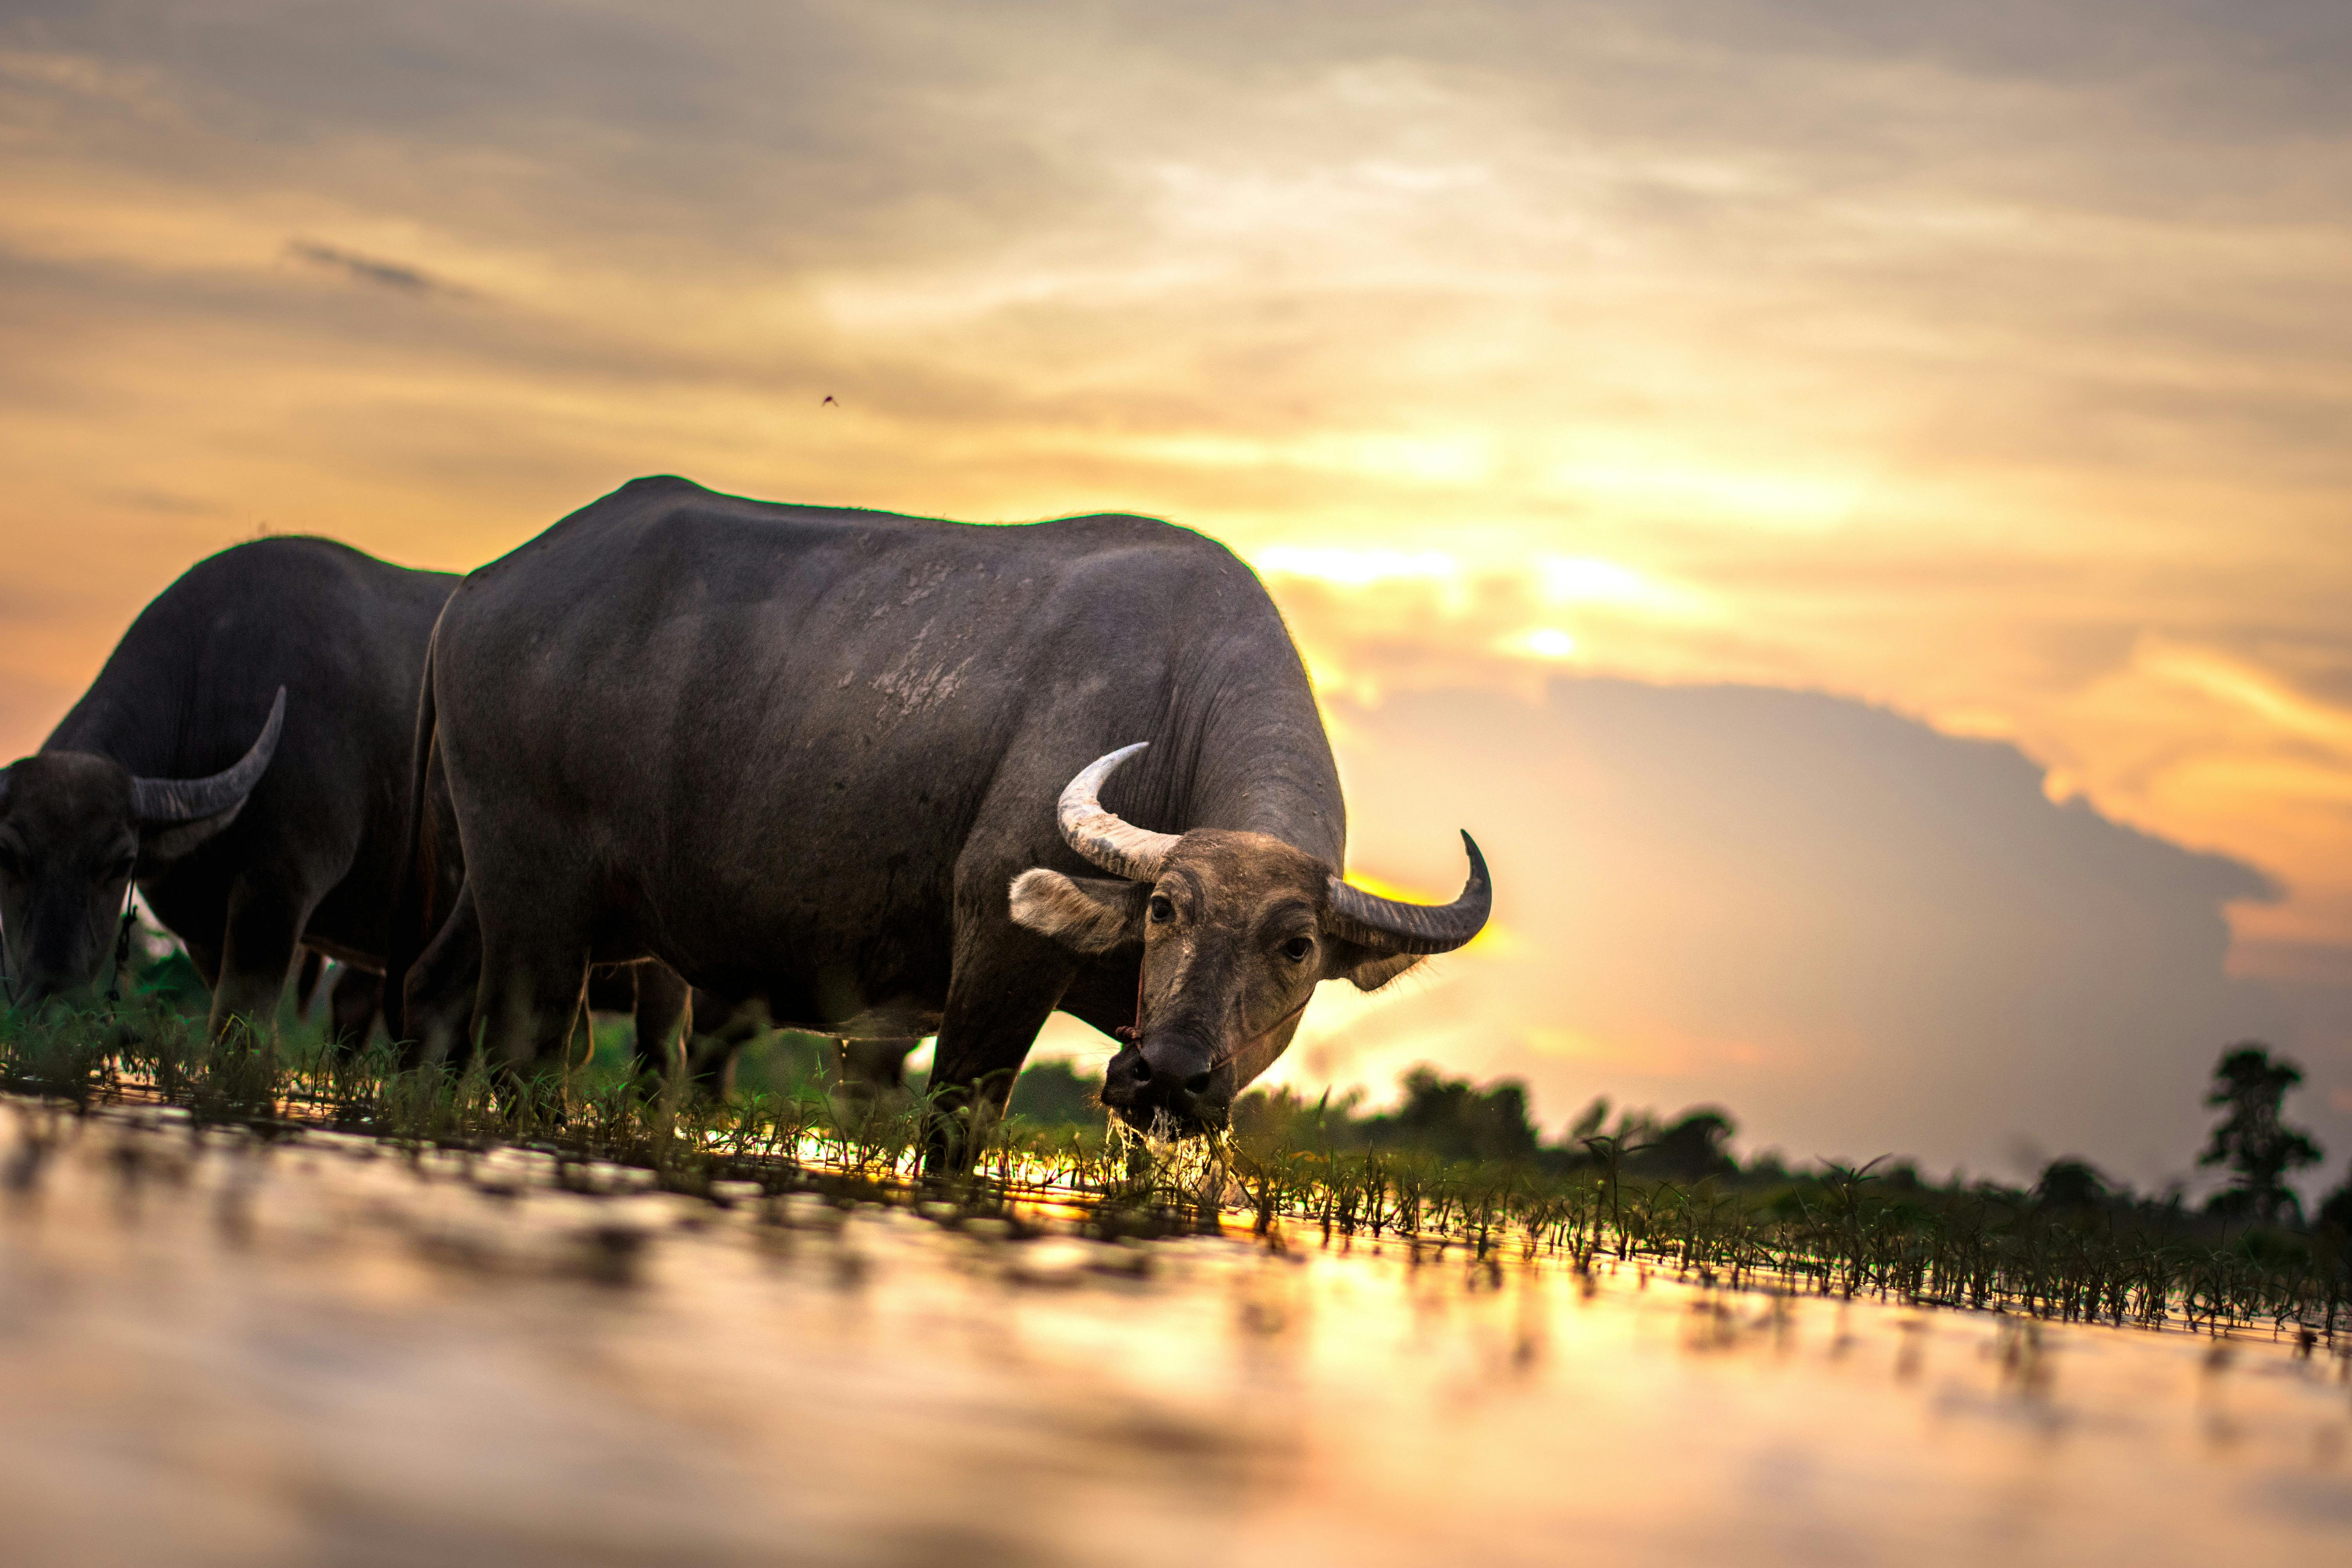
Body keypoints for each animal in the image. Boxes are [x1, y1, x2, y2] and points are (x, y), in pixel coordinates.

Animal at [397, 476, 1488, 1148]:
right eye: (1165, 909)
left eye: (1296, 946)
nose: (1168, 1073)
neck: (1176, 702)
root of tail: (480, 587)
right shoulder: (997, 957)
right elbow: (954, 1132)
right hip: (538, 905)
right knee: (531, 1046)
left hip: (496, 888)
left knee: (432, 992)